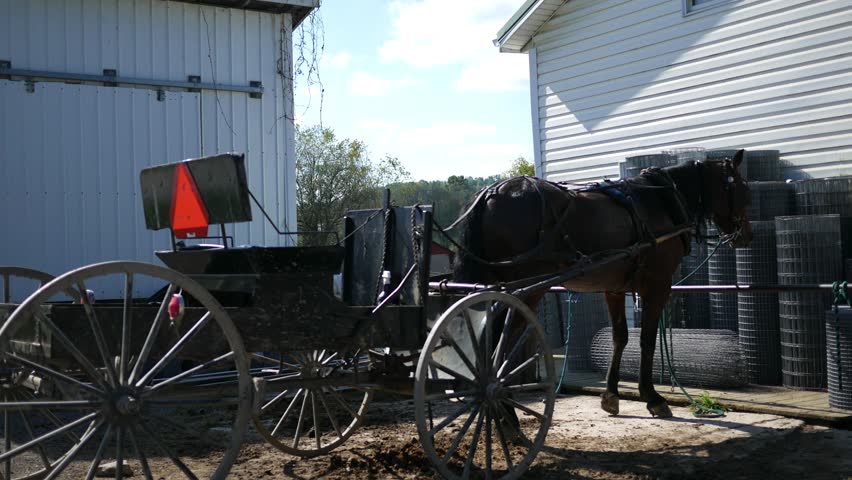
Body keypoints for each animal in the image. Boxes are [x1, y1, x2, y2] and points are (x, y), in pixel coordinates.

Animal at [451, 150, 752, 418]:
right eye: (742, 188)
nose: (746, 235)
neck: (660, 201)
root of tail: (493, 192)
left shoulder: (614, 288)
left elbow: (620, 337)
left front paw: (611, 395)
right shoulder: (657, 285)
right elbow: (646, 340)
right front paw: (652, 397)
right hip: (525, 290)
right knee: (500, 346)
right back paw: (504, 409)